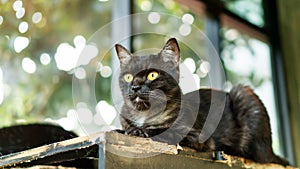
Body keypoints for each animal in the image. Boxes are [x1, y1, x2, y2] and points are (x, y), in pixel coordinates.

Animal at [114, 38, 288, 165]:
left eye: (152, 75)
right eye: (128, 76)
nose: (135, 87)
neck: (143, 114)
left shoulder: (198, 136)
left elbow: (165, 131)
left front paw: (139, 131)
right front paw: (122, 130)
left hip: (243, 94)